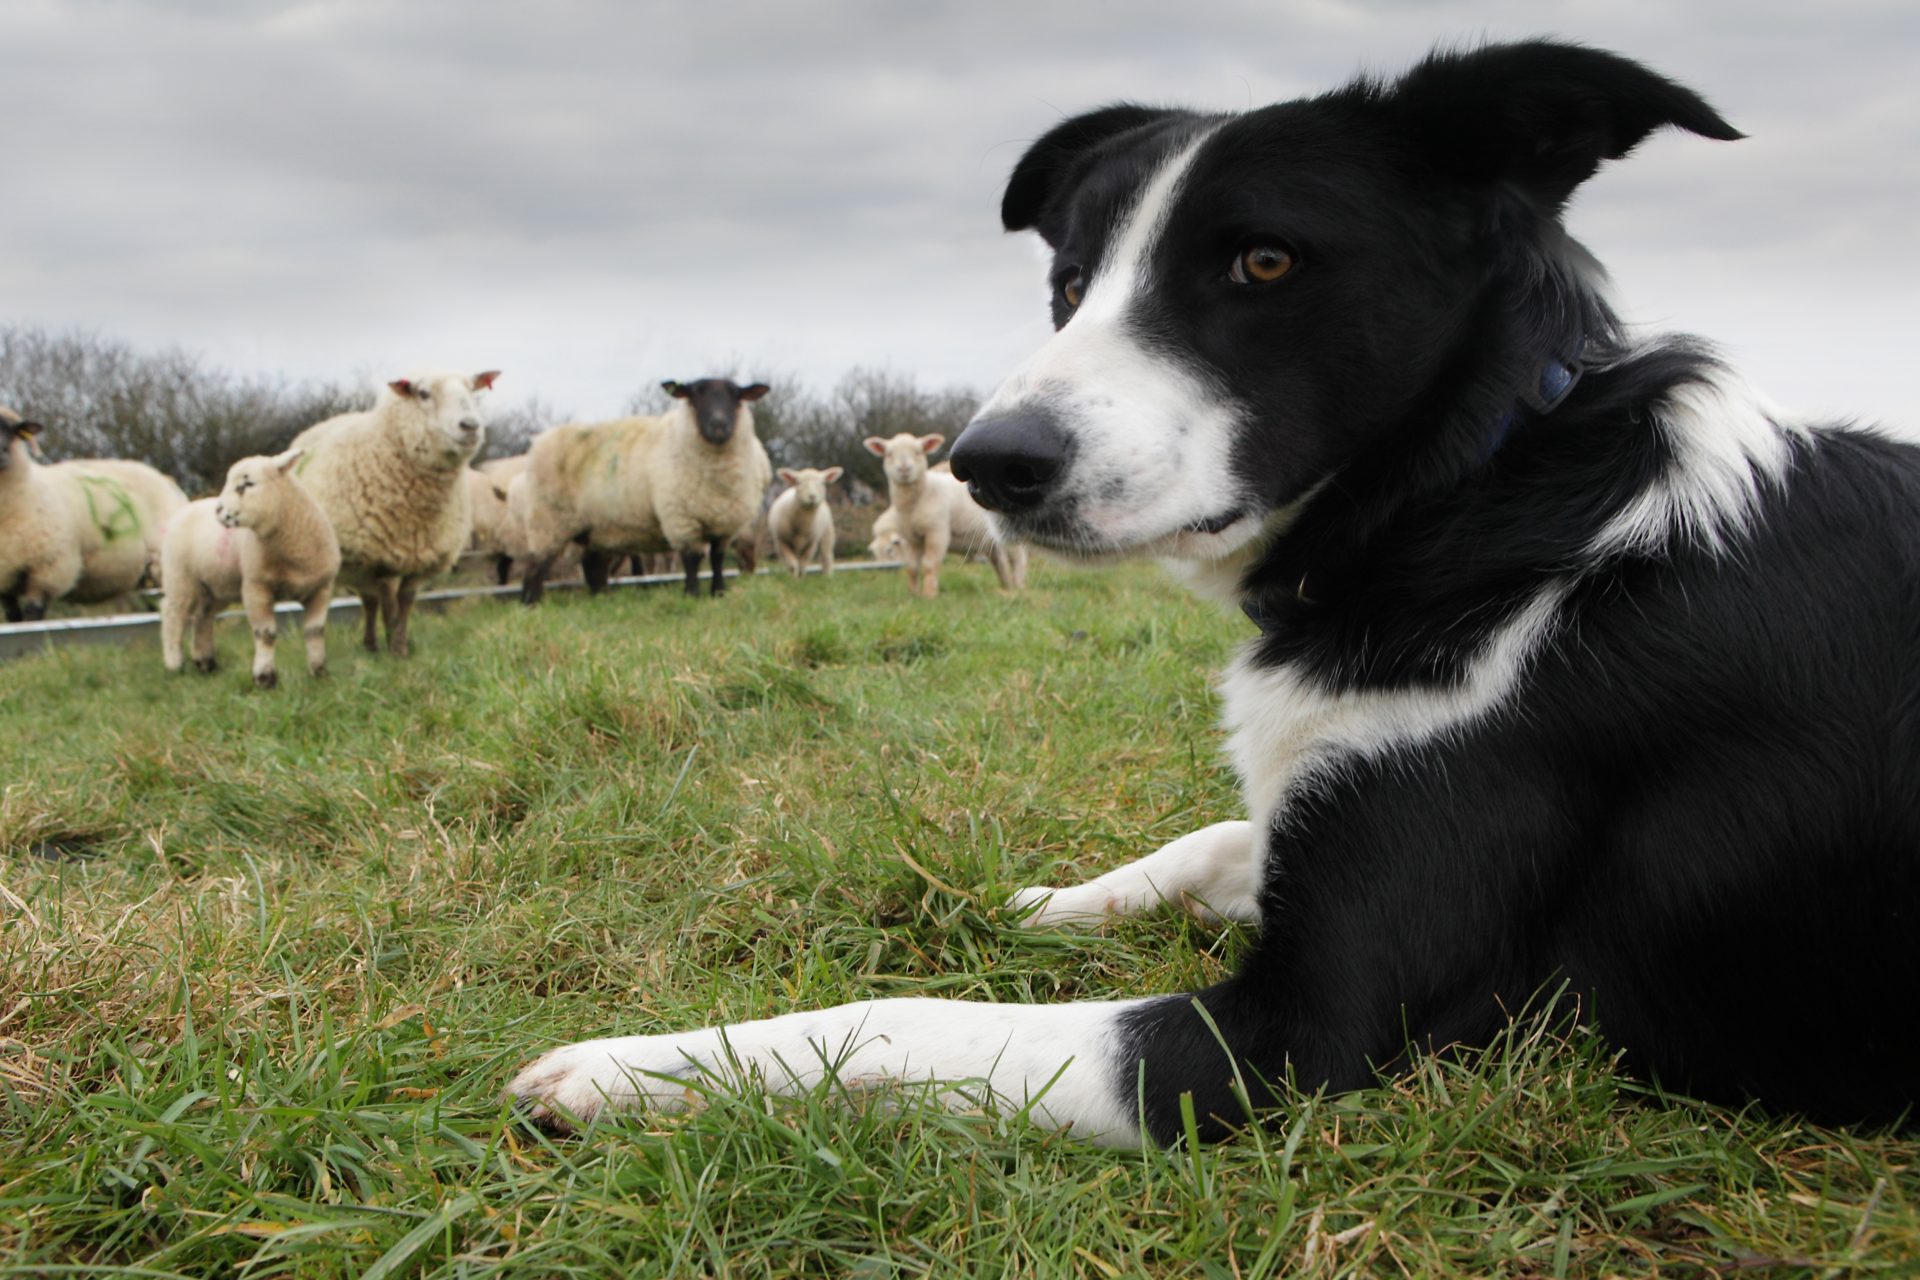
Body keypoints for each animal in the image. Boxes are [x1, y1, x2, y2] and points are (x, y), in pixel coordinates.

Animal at [0, 402, 187, 617]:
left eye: (12, 430)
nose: (2, 453)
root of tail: (167, 480)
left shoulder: (48, 572)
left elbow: (33, 617)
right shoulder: (5, 581)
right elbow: (14, 618)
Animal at [159, 452, 339, 690]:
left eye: (247, 484)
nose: (218, 510)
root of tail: (187, 507)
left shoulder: (321, 588)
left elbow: (315, 631)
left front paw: (319, 672)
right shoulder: (255, 586)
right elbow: (265, 634)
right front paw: (264, 678)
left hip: (214, 586)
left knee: (202, 617)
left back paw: (206, 663)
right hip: (180, 576)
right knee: (172, 614)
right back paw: (174, 664)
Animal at [289, 368, 503, 652]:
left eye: (471, 389)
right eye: (423, 393)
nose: (470, 426)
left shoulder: (423, 558)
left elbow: (406, 600)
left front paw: (401, 643)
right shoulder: (380, 559)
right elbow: (389, 603)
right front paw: (394, 648)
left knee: (369, 599)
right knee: (369, 601)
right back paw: (370, 645)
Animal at [518, 378, 779, 602]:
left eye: (736, 395)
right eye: (694, 394)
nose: (718, 424)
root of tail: (539, 442)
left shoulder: (725, 525)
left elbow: (717, 559)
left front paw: (719, 592)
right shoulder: (681, 519)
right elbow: (692, 559)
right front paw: (692, 594)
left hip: (594, 527)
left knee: (592, 566)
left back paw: (602, 599)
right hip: (548, 522)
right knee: (535, 566)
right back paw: (531, 602)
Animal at [864, 433, 1029, 598]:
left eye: (918, 452)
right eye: (889, 454)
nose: (904, 469)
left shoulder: (937, 531)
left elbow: (930, 564)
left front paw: (929, 595)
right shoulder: (911, 538)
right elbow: (912, 568)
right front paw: (913, 594)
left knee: (1018, 560)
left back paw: (1018, 586)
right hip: (991, 541)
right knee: (1000, 563)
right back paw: (1007, 587)